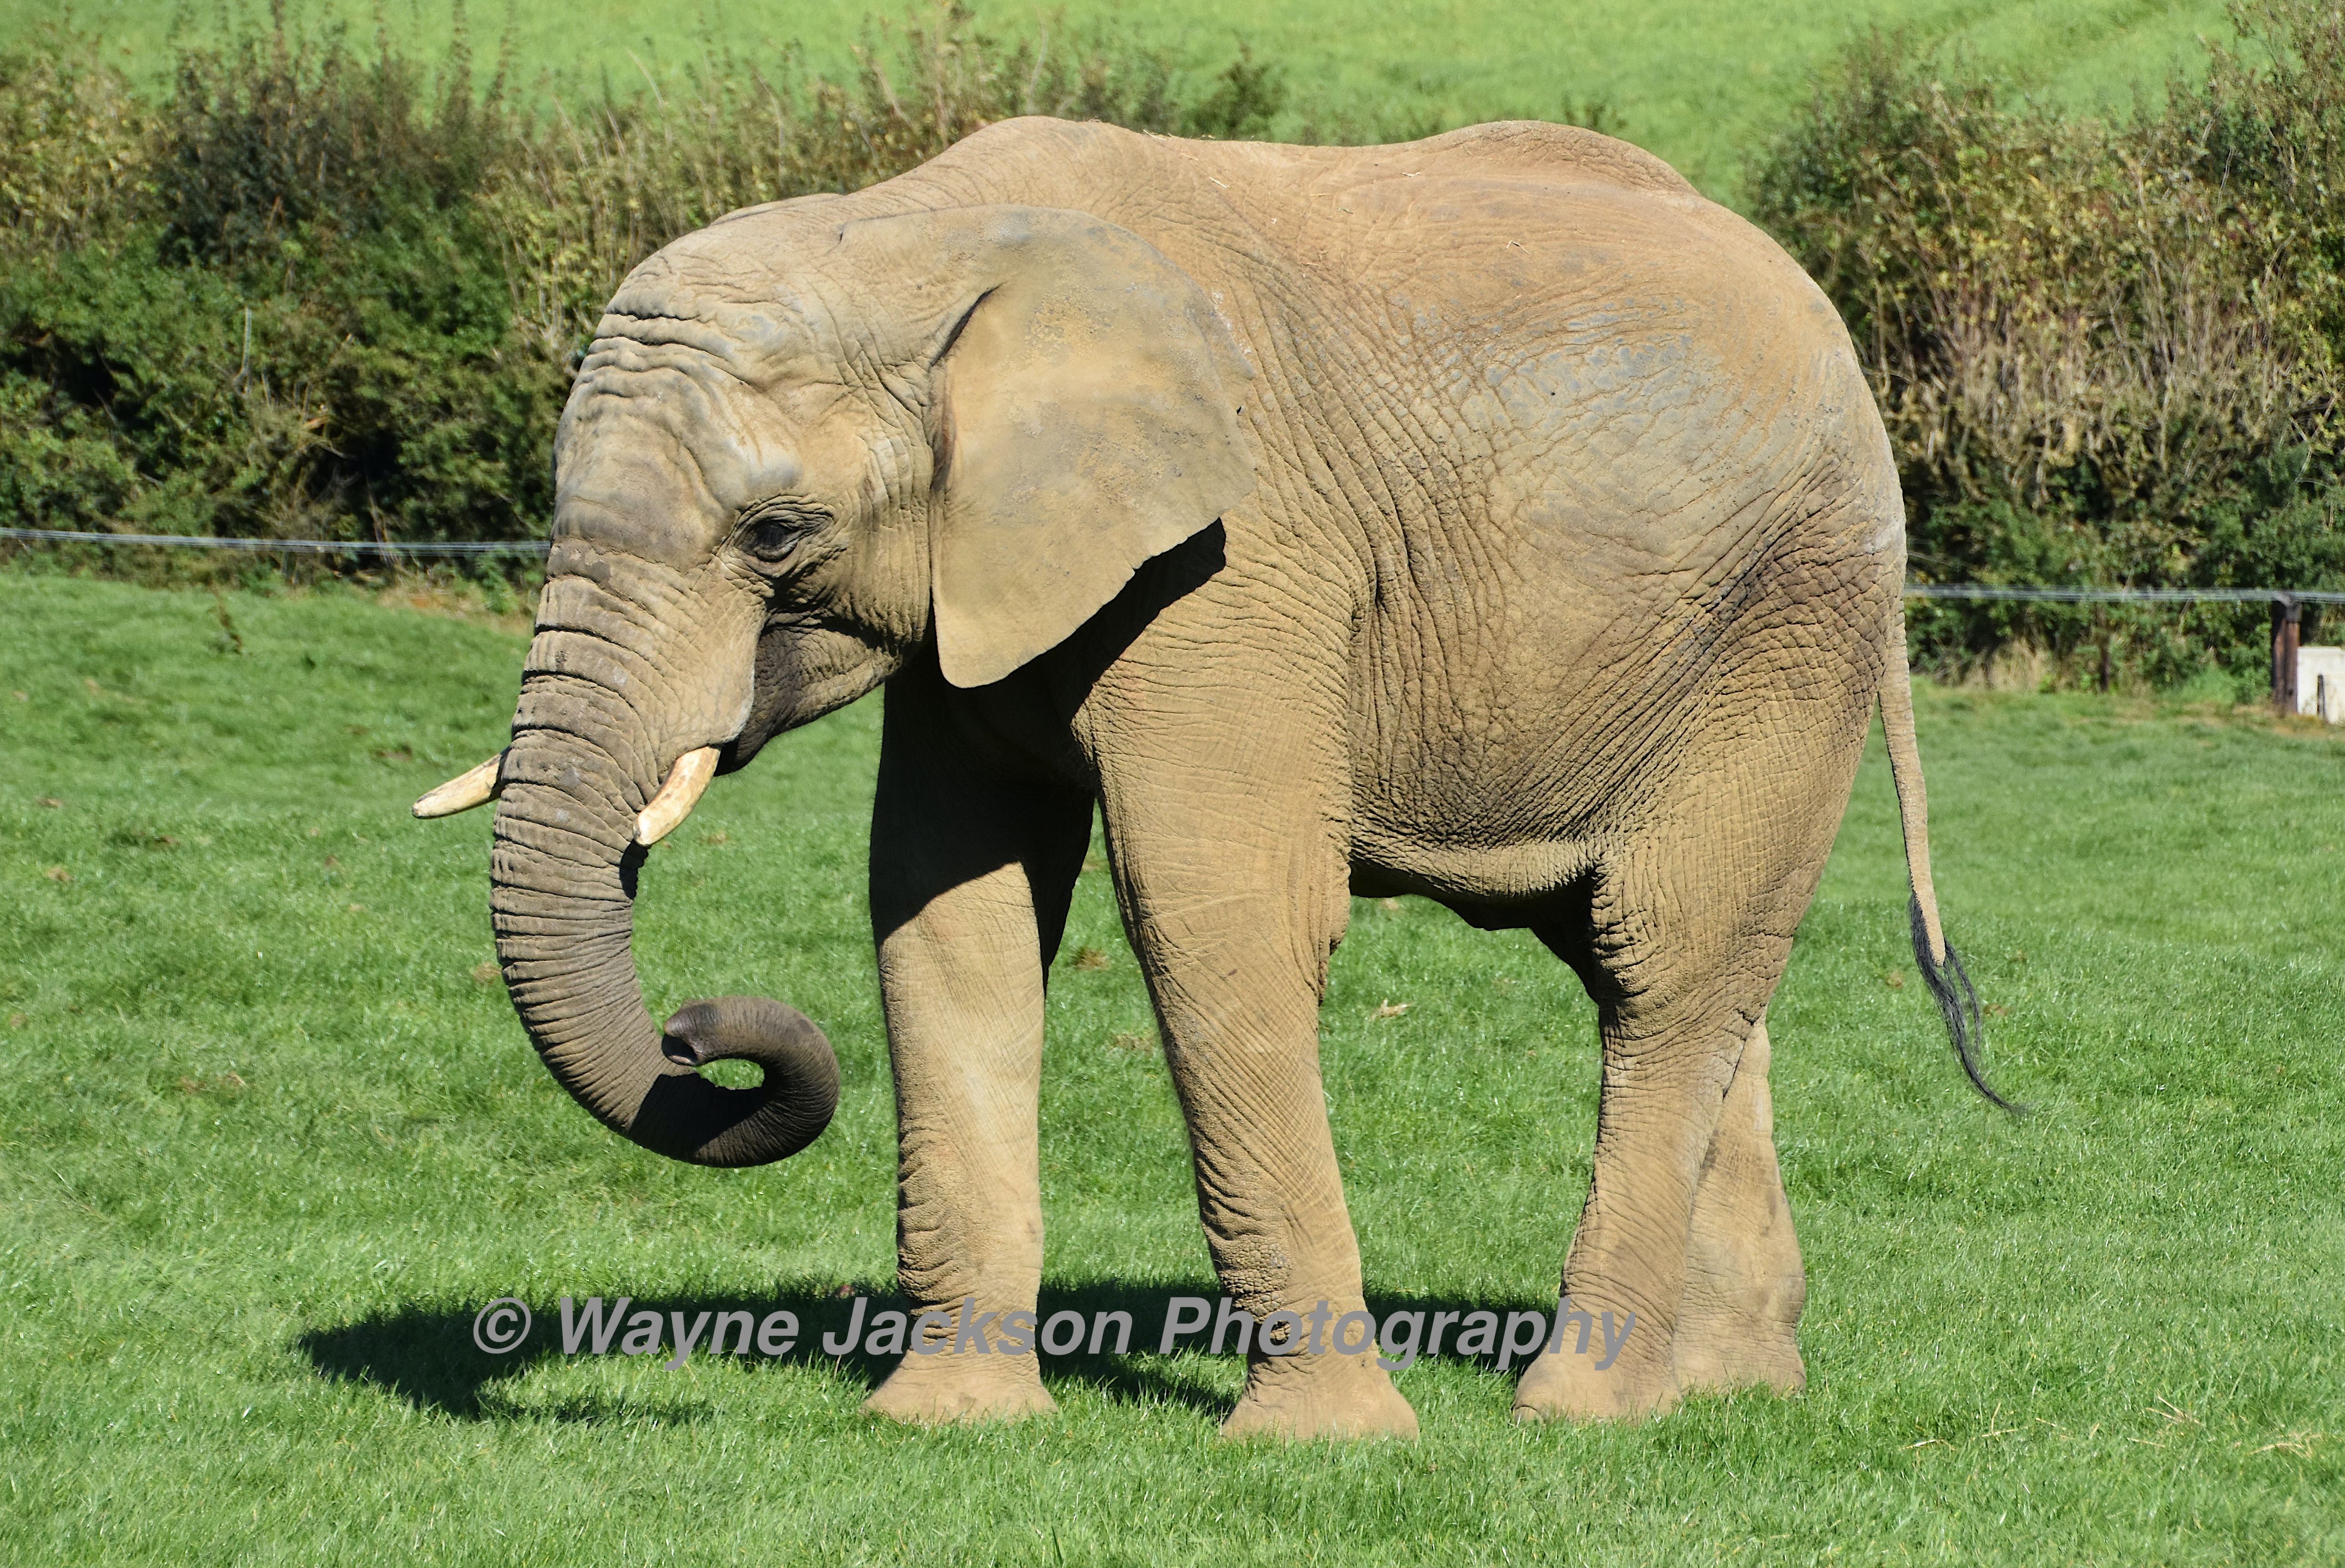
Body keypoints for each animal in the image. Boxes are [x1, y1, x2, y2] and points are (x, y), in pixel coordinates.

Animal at [413, 116, 2007, 1434]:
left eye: (775, 534)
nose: (696, 1036)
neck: (923, 235)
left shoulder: (1238, 563)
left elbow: (1212, 914)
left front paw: (1329, 1447)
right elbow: (946, 917)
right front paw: (946, 1426)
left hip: (1792, 612)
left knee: (1669, 961)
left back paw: (1582, 1411)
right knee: (1666, 967)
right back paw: (1728, 1390)